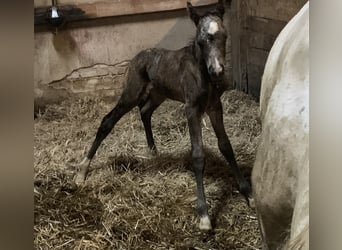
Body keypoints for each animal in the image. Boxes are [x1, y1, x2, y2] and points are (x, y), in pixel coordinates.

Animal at [75, 0, 251, 230]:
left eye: (224, 36)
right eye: (201, 42)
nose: (218, 71)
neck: (201, 73)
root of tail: (136, 58)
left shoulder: (215, 106)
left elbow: (226, 146)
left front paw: (248, 193)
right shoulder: (192, 109)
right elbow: (198, 155)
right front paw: (204, 215)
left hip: (158, 94)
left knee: (145, 111)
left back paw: (153, 151)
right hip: (131, 93)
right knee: (108, 121)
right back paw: (82, 171)